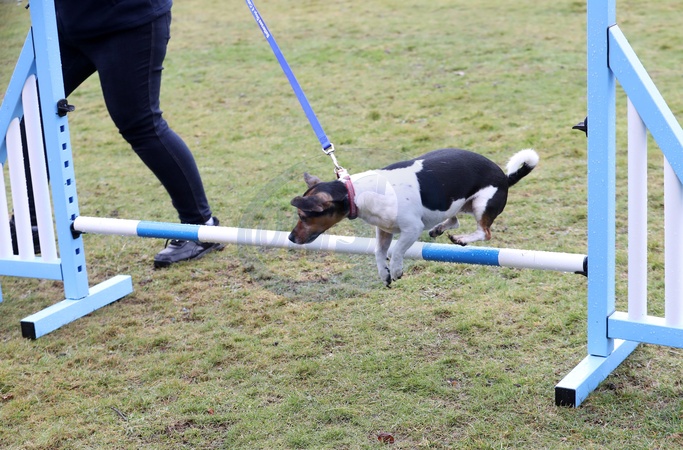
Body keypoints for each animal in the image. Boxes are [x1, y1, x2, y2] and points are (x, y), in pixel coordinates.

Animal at [288, 148, 539, 286]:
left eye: (303, 216)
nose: (290, 238)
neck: (355, 192)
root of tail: (505, 177)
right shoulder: (384, 230)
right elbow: (379, 252)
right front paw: (384, 274)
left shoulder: (411, 230)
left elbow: (397, 251)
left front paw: (396, 270)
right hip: (457, 204)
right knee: (455, 219)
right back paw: (439, 229)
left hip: (481, 204)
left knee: (484, 232)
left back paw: (462, 239)